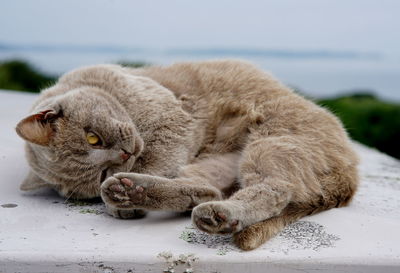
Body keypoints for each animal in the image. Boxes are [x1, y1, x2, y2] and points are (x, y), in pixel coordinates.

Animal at [16, 59, 360, 249]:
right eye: (100, 170)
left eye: (93, 138)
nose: (123, 157)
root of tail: (351, 175)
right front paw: (118, 196)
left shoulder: (171, 120)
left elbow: (156, 157)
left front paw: (119, 200)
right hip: (218, 164)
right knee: (206, 189)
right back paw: (132, 192)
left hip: (272, 141)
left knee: (274, 190)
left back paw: (218, 215)